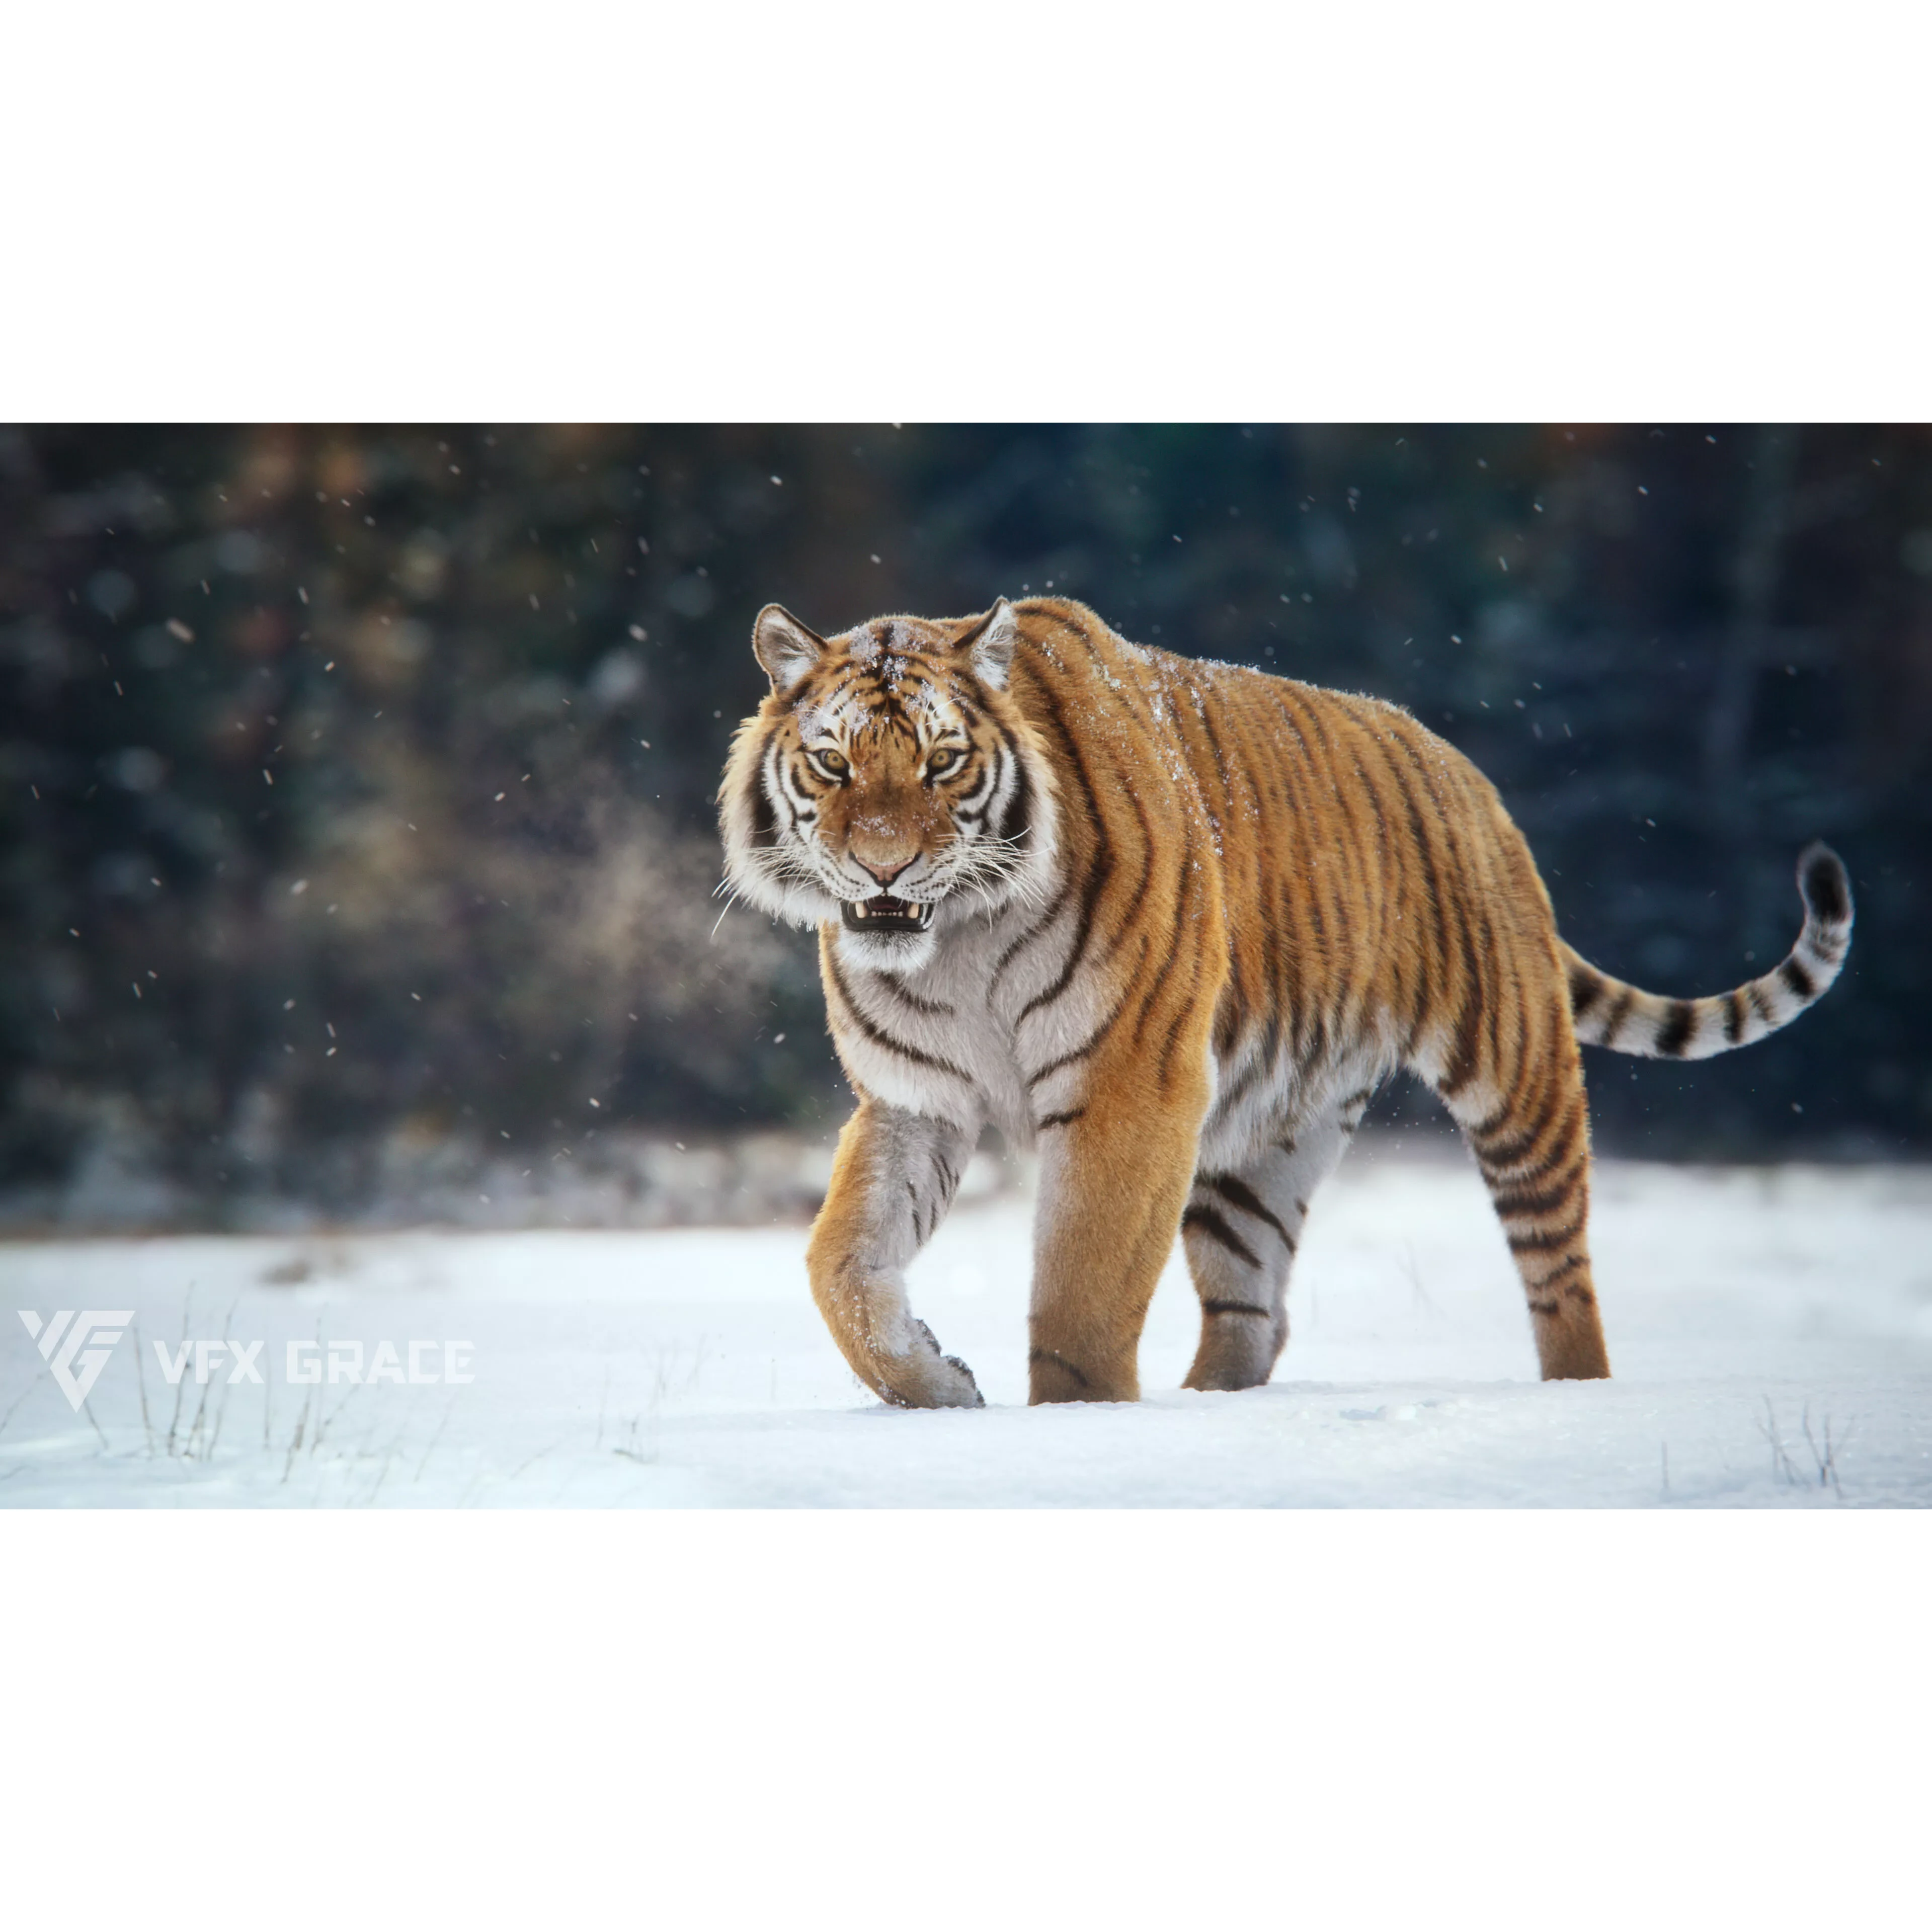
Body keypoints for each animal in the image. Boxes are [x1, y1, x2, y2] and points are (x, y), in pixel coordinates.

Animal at [718, 595, 1854, 1407]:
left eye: (943, 762)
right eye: (834, 763)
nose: (884, 864)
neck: (958, 939)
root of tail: (1466, 771)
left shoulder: (1129, 1085)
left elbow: (1082, 1294)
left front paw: (1074, 1426)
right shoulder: (919, 1099)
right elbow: (841, 1265)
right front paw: (938, 1386)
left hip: (1515, 1071)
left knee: (1562, 1277)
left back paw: (1582, 1395)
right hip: (1263, 1139)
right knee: (1253, 1313)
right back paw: (1214, 1407)